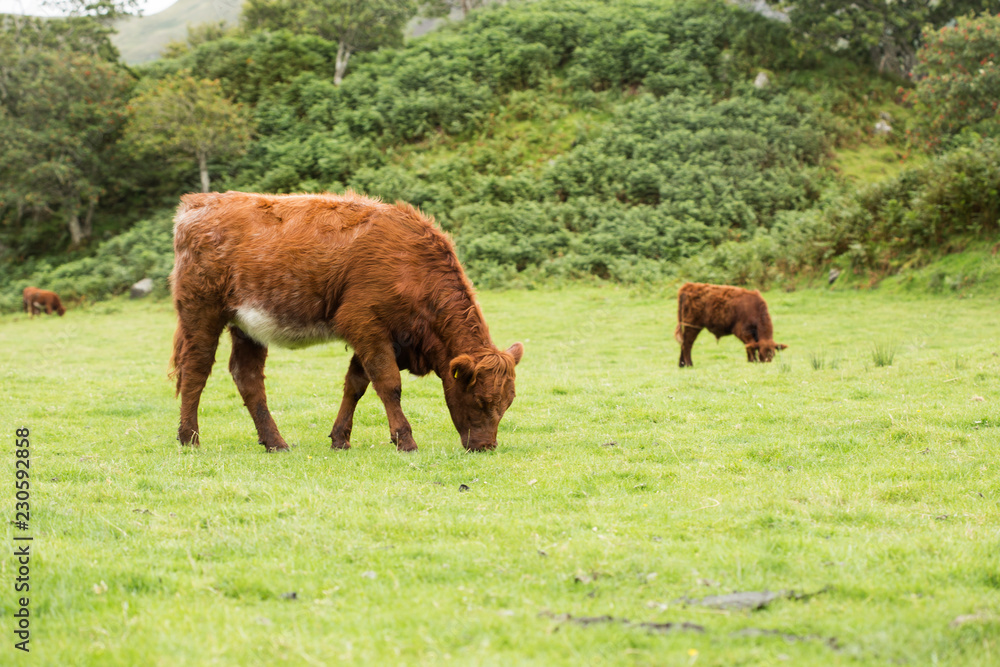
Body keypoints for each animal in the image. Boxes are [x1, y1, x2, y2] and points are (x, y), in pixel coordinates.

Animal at [166, 192, 524, 454]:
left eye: (507, 402)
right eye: (480, 400)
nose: (486, 446)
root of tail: (198, 203)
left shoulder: (381, 337)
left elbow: (356, 384)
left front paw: (340, 438)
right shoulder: (365, 323)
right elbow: (388, 383)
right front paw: (405, 440)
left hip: (248, 326)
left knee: (248, 378)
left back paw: (275, 442)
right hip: (202, 312)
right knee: (196, 370)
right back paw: (189, 437)